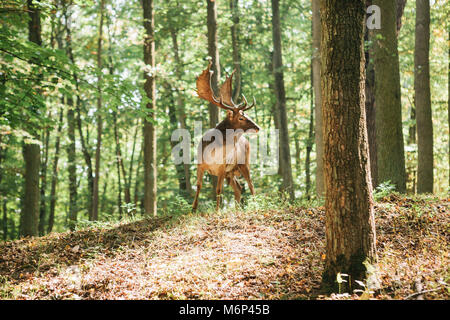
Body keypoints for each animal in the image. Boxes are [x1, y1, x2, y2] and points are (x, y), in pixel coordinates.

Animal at [192, 61, 262, 212]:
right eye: (241, 118)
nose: (257, 127)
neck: (213, 154)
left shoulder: (222, 168)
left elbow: (218, 190)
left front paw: (217, 211)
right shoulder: (200, 164)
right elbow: (199, 186)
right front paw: (193, 210)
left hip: (244, 163)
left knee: (251, 185)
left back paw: (255, 207)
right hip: (231, 173)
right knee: (239, 188)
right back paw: (236, 210)